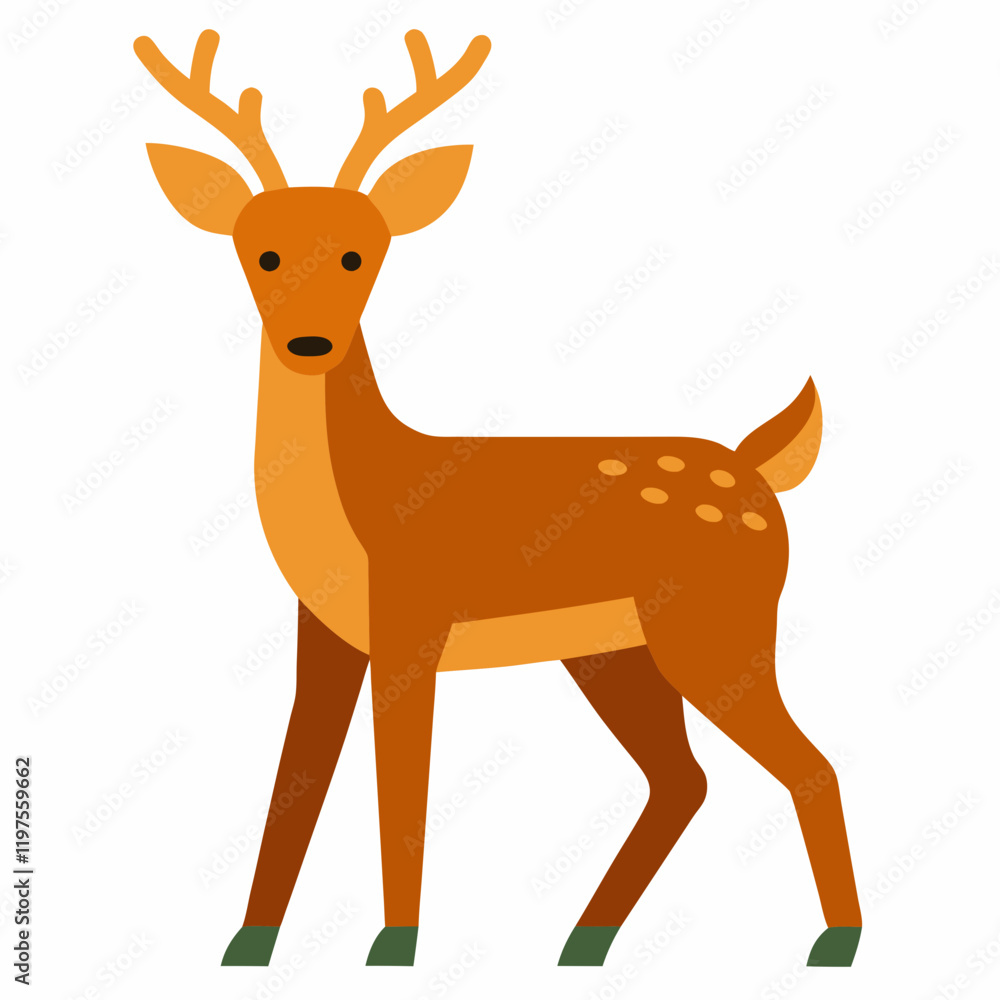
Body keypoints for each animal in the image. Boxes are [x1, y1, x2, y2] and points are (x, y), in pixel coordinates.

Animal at [133, 27, 862, 970]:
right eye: (260, 252)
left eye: (359, 253)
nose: (310, 341)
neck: (362, 502)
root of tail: (758, 467)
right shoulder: (325, 633)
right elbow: (296, 781)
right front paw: (247, 948)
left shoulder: (414, 620)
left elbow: (400, 786)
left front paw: (394, 947)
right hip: (614, 651)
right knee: (682, 778)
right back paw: (583, 942)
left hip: (718, 625)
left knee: (808, 764)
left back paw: (834, 943)